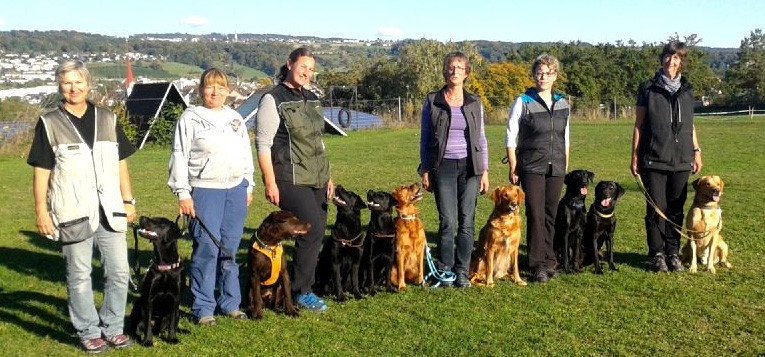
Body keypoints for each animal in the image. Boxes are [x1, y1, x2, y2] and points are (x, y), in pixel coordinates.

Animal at [129, 214, 183, 344]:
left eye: (159, 222)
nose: (141, 217)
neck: (165, 268)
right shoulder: (149, 298)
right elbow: (148, 322)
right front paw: (148, 341)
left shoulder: (176, 299)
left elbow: (172, 323)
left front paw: (172, 338)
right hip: (138, 305)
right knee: (137, 326)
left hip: (178, 313)